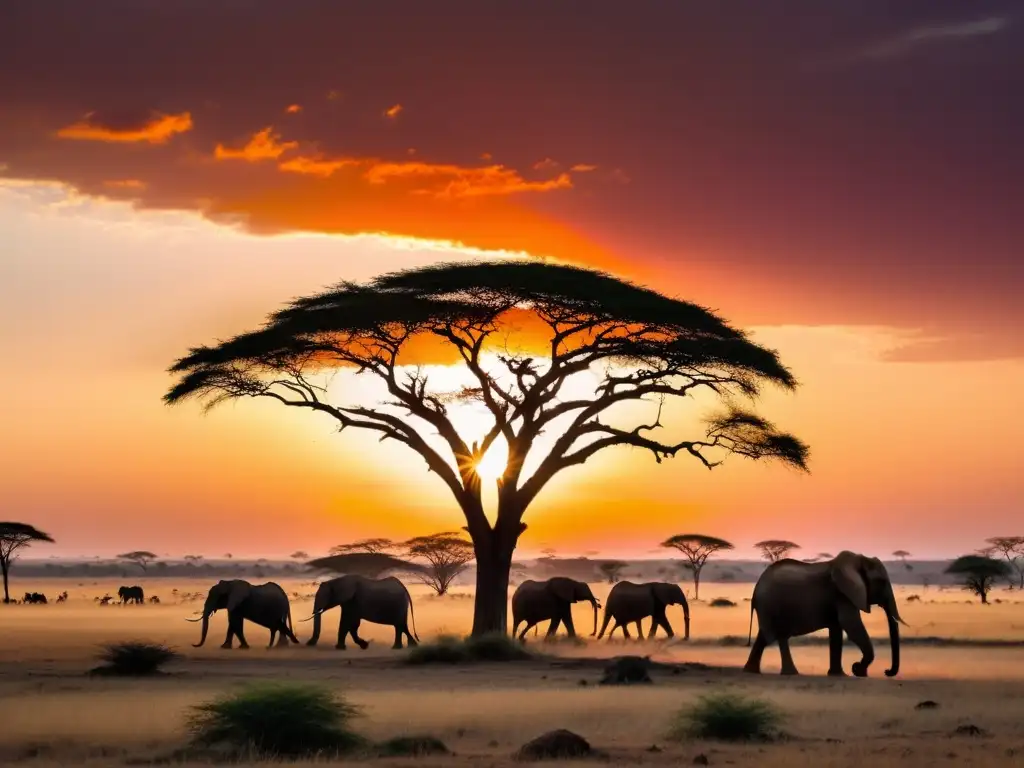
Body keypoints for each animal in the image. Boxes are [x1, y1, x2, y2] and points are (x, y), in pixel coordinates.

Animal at [745, 552, 905, 679]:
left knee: (764, 637)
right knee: (779, 636)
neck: (858, 560)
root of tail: (755, 591)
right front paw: (859, 671)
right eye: (882, 582)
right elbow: (851, 626)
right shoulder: (842, 595)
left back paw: (751, 671)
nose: (886, 671)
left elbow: (837, 630)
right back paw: (790, 673)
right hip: (771, 606)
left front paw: (839, 674)